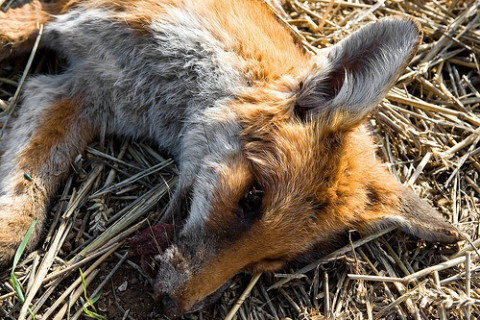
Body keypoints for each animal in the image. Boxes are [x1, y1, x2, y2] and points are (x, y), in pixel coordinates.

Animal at [0, 0, 464, 316]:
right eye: (253, 197)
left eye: (269, 263)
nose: (171, 304)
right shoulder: (64, 24)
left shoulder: (77, 93)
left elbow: (28, 195)